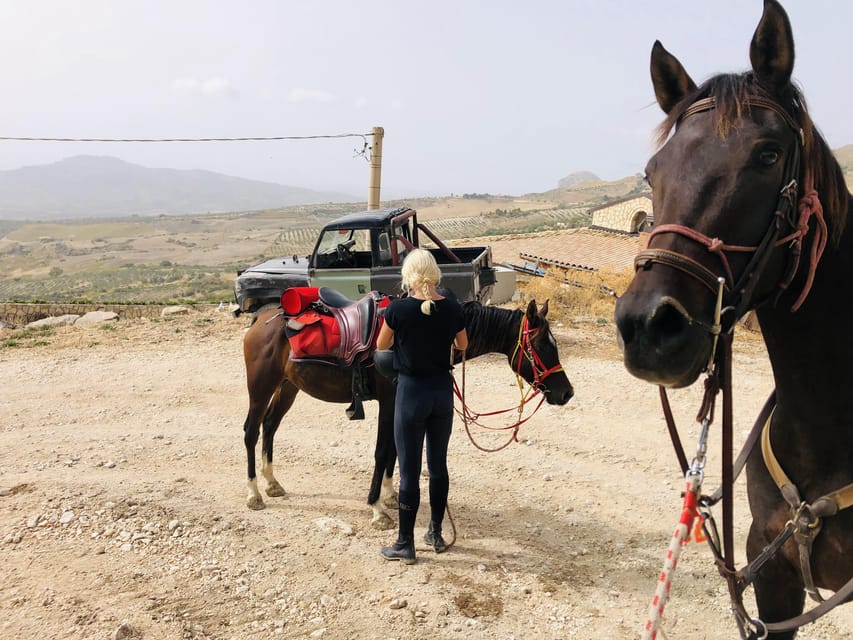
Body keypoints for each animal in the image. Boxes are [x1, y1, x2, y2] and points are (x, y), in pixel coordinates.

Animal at [240, 300, 572, 528]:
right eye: (541, 344)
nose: (566, 393)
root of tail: (261, 319)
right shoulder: (389, 402)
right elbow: (382, 451)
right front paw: (377, 509)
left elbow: (394, 451)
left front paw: (389, 495)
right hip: (260, 388)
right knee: (251, 431)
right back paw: (254, 494)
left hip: (288, 387)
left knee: (270, 426)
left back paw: (272, 483)